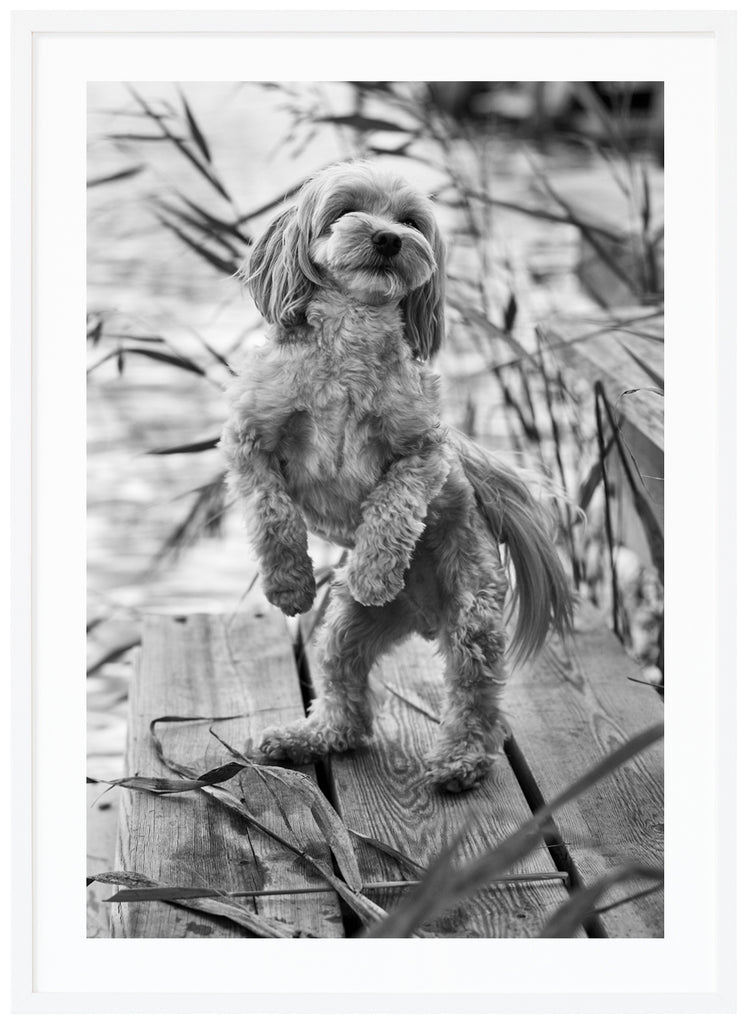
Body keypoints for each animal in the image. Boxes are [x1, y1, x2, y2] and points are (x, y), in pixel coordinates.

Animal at [221, 159, 569, 790]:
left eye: (411, 221)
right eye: (344, 210)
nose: (388, 238)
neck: (350, 343)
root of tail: (423, 617)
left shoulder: (425, 450)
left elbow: (393, 506)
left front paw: (375, 572)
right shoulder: (248, 438)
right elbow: (271, 512)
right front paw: (289, 584)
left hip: (473, 610)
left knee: (476, 694)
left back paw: (460, 760)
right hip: (343, 631)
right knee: (345, 699)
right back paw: (308, 737)